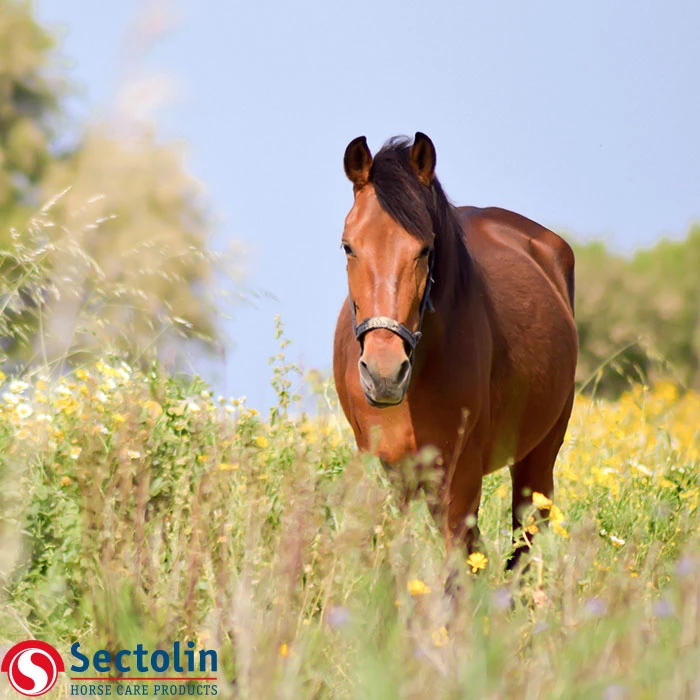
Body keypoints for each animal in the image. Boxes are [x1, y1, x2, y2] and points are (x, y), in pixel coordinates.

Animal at [333, 132, 578, 567]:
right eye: (348, 246)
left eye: (425, 249)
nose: (384, 373)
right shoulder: (387, 471)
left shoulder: (459, 478)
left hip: (539, 457)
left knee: (523, 543)